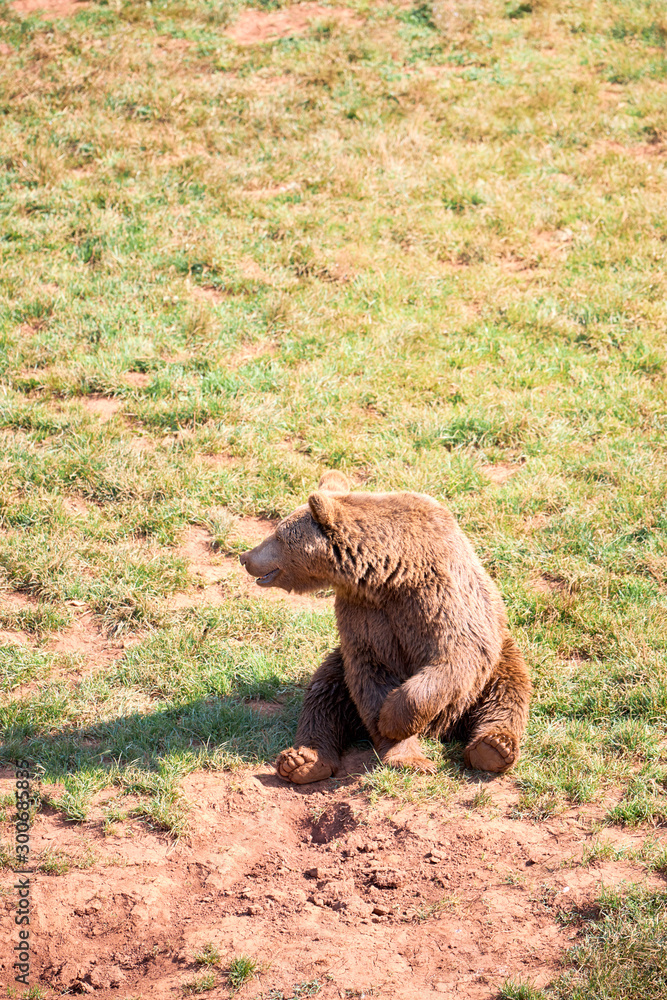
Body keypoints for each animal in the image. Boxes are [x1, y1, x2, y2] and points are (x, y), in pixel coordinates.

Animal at [239, 472, 531, 784]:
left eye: (278, 536)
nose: (245, 557)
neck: (389, 575)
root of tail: (446, 728)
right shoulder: (364, 615)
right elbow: (372, 674)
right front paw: (407, 755)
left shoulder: (439, 598)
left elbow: (454, 656)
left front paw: (392, 720)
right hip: (339, 662)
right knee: (324, 695)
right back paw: (303, 761)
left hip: (497, 661)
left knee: (505, 694)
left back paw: (493, 748)